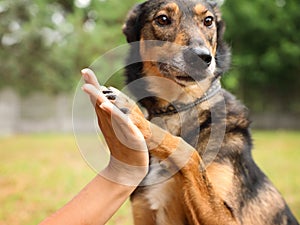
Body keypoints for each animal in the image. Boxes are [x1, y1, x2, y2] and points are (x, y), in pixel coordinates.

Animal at [102, 0, 298, 224]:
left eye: (208, 21)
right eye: (162, 19)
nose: (202, 57)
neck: (177, 108)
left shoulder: (229, 219)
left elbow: (189, 151)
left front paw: (134, 113)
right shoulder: (143, 210)